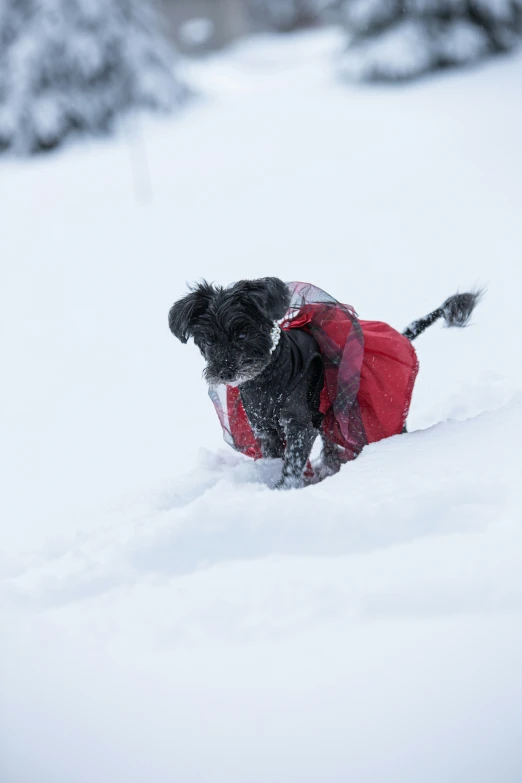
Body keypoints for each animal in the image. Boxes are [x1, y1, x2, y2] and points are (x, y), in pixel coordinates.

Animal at [169, 280, 482, 490]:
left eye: (243, 334)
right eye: (208, 341)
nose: (224, 371)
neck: (268, 377)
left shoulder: (298, 424)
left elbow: (293, 461)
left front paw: (283, 489)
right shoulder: (265, 430)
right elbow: (277, 456)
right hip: (331, 418)